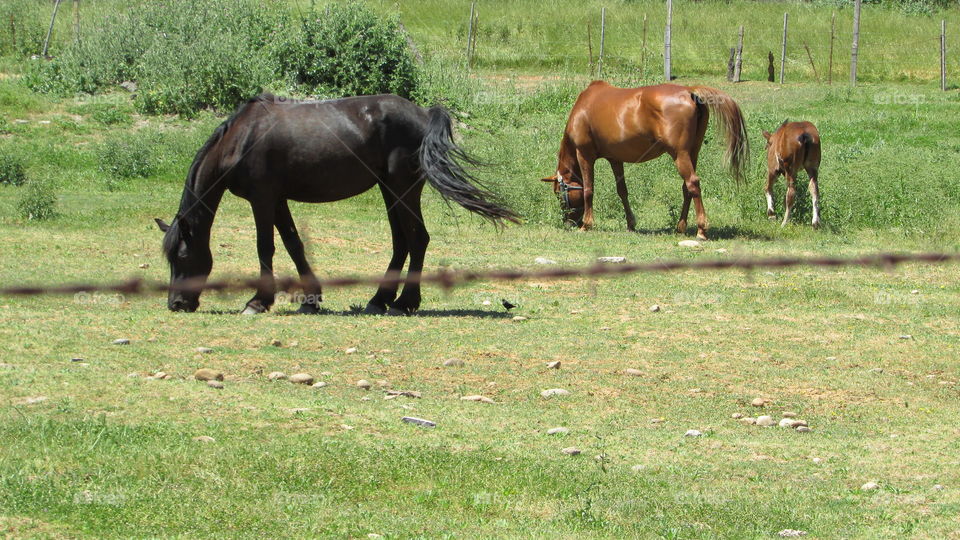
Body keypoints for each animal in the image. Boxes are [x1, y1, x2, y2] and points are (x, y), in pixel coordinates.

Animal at [155, 93, 518, 315]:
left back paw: (404, 302)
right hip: (389, 189)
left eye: (182, 257)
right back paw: (380, 299)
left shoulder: (262, 199)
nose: (176, 303)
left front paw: (258, 301)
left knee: (417, 240)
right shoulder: (278, 199)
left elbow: (265, 247)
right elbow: (293, 244)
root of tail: (425, 113)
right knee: (401, 242)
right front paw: (311, 299)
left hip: (402, 187)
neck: (241, 139)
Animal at [540, 81, 749, 240]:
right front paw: (630, 223)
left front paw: (587, 224)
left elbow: (589, 190)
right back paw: (680, 227)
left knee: (693, 183)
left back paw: (701, 229)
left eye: (559, 194)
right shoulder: (615, 159)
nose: (569, 223)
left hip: (679, 154)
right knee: (687, 188)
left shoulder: (585, 155)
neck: (584, 108)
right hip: (692, 153)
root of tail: (689, 90)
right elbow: (622, 191)